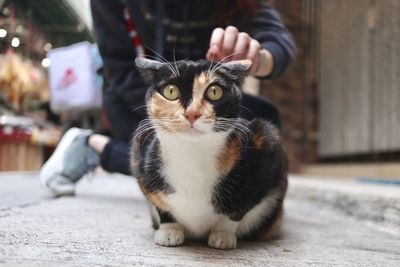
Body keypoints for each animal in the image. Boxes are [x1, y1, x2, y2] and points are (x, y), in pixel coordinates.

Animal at [131, 57, 288, 251]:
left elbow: (236, 211)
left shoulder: (266, 147)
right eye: (171, 91)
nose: (192, 113)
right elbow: (161, 206)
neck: (191, 155)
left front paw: (223, 235)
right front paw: (169, 232)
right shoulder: (140, 154)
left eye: (214, 92)